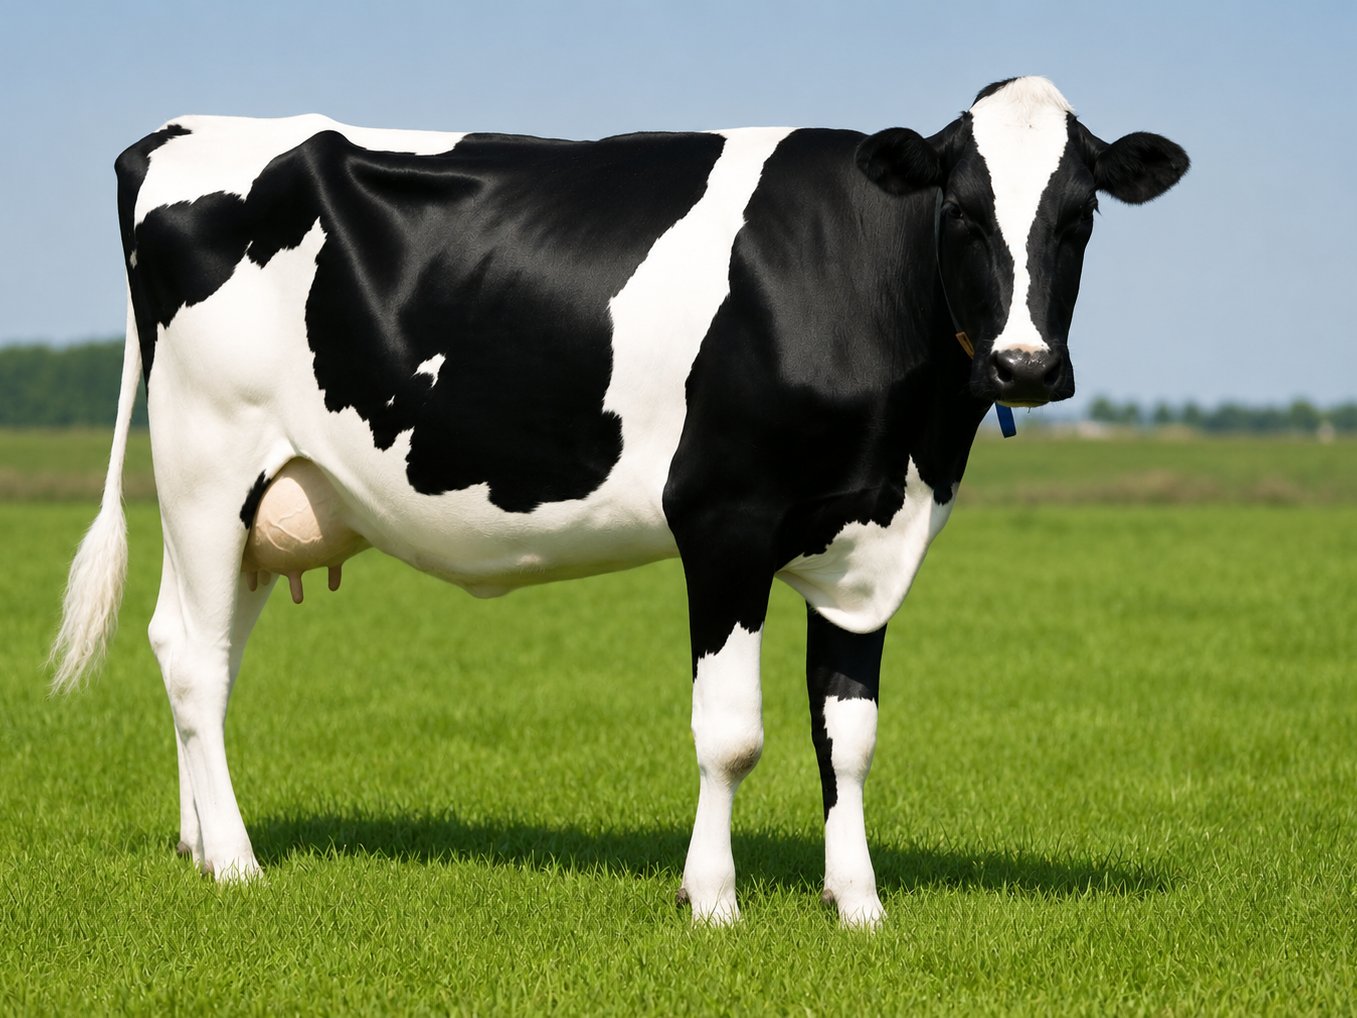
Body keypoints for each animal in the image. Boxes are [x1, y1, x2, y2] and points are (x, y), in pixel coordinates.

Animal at [51, 77, 1187, 927]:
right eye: (960, 210)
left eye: (1078, 215)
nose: (1024, 365)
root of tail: (179, 131)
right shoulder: (725, 520)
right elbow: (732, 733)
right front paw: (713, 902)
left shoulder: (870, 534)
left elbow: (848, 731)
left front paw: (857, 904)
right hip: (206, 460)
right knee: (192, 659)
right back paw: (237, 865)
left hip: (266, 500)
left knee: (200, 649)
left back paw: (199, 844)